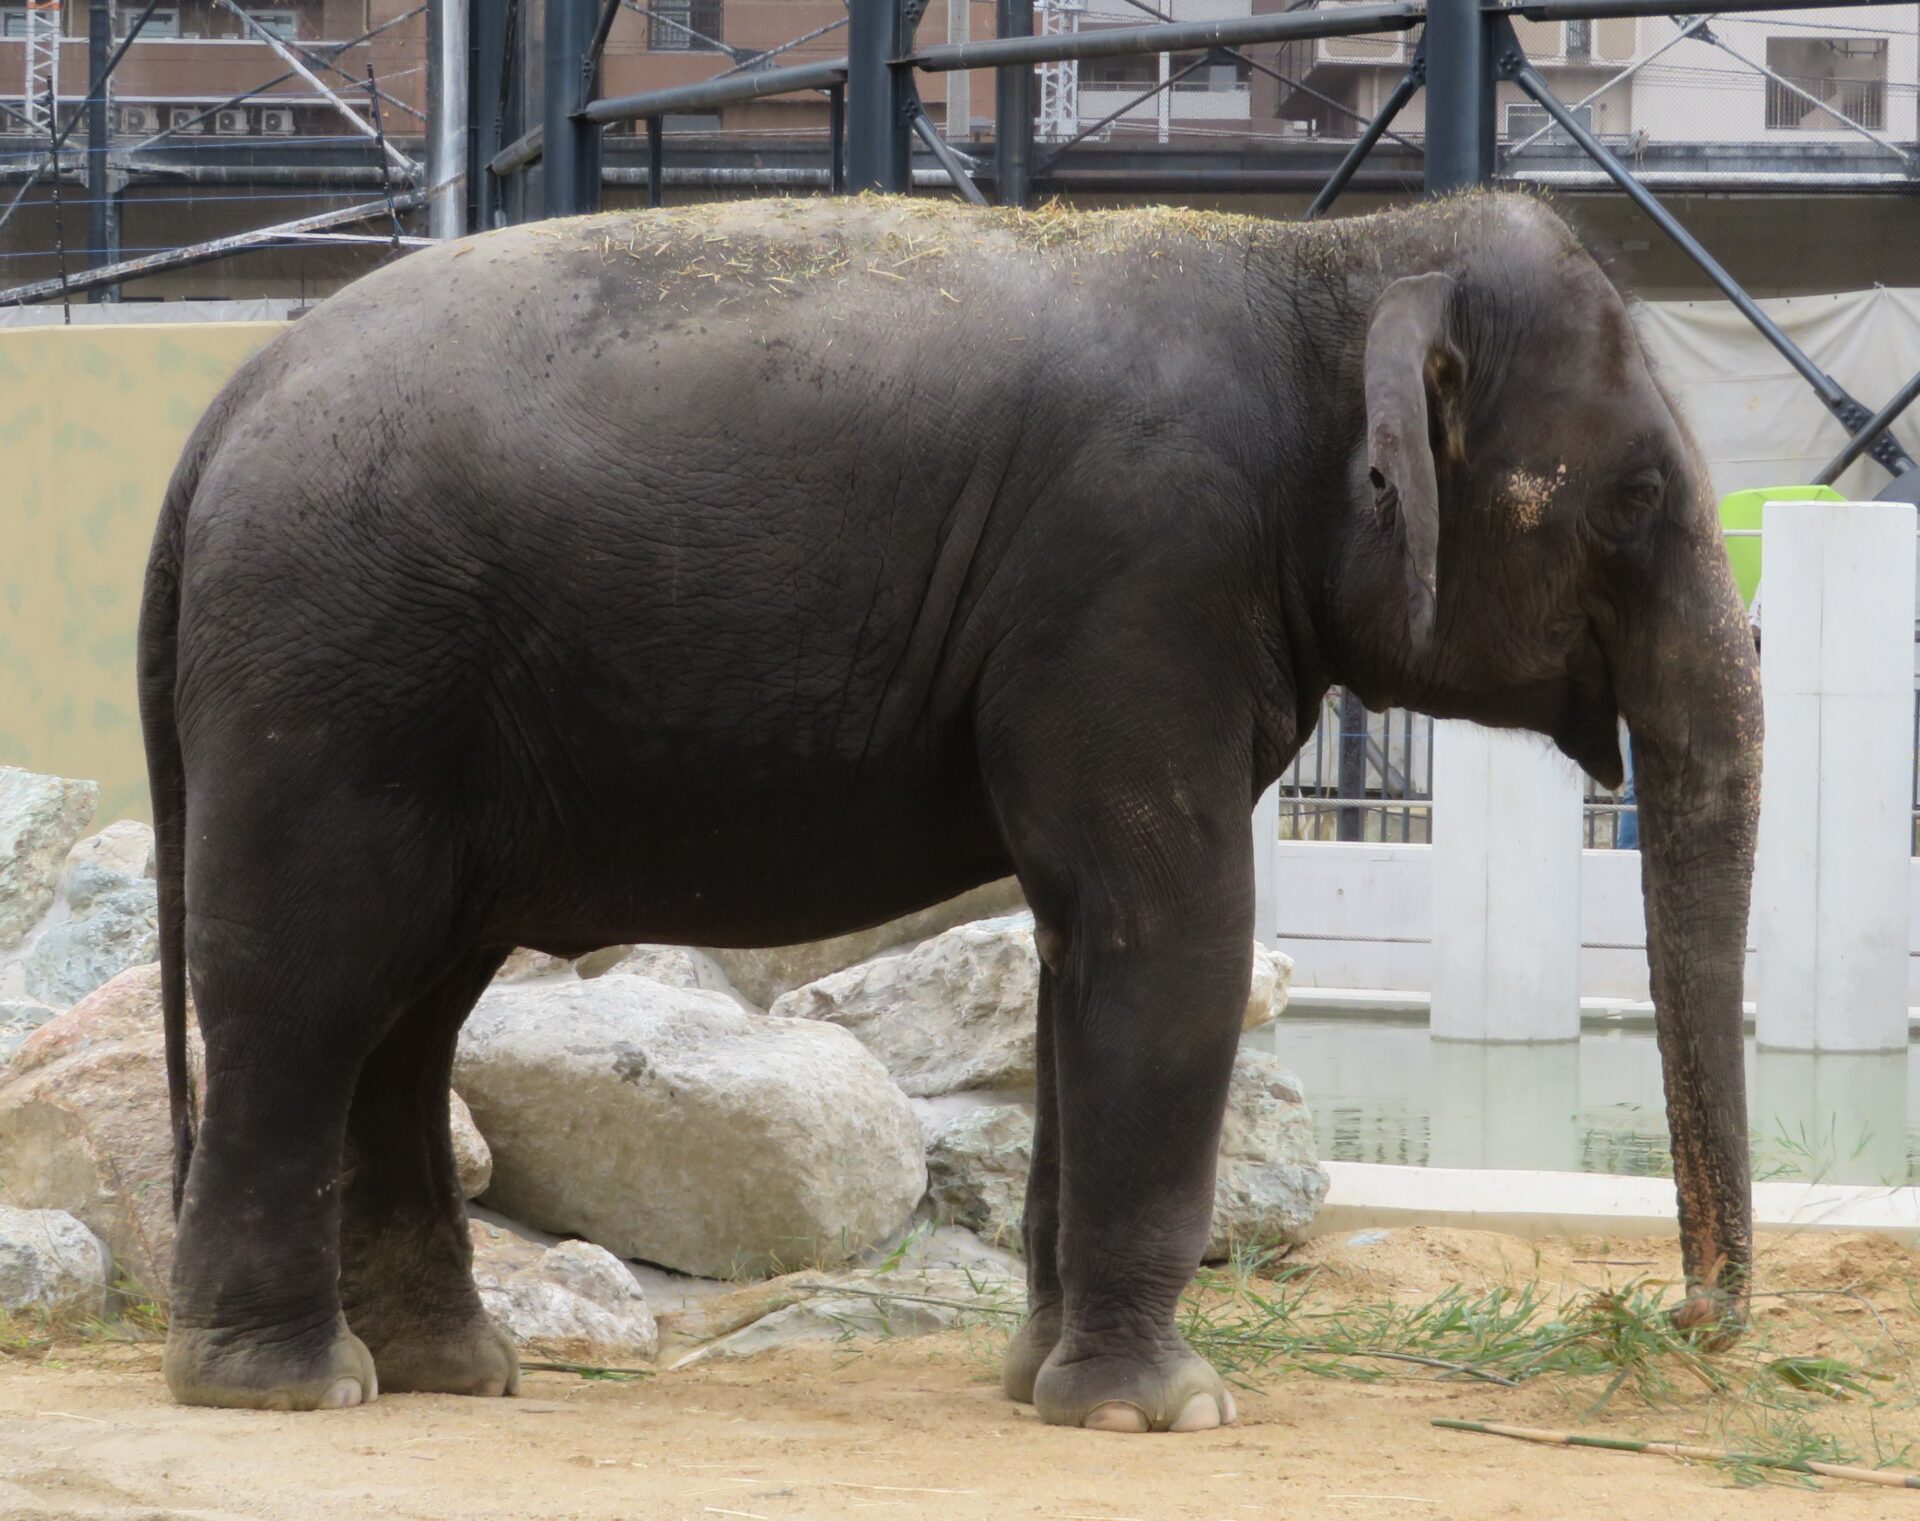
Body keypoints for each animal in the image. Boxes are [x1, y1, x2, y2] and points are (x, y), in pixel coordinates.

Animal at [138, 191, 1760, 1429]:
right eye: (1634, 501)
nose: (1689, 1321)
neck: (1326, 260)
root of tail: (220, 413)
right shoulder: (1136, 576)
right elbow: (1175, 937)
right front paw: (1162, 1413)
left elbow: (1082, 948)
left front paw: (1043, 1382)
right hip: (335, 675)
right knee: (310, 985)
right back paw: (285, 1386)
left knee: (409, 1008)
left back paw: (451, 1371)